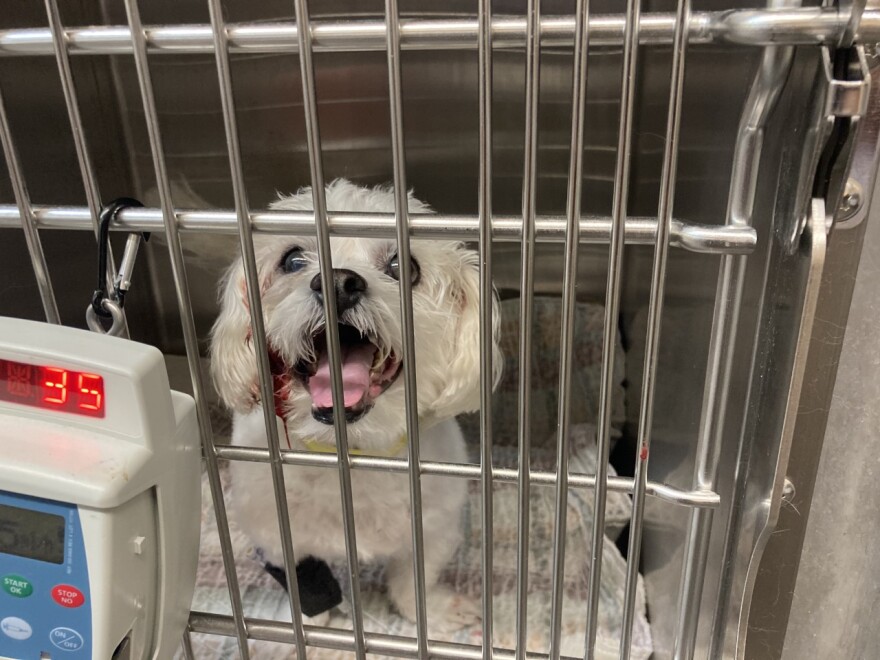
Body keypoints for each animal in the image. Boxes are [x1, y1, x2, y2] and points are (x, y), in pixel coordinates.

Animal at [210, 178, 502, 632]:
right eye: (292, 260)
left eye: (405, 266)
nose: (338, 281)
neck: (353, 453)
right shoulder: (276, 537)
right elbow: (310, 589)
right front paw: (318, 629)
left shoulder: (434, 523)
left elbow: (415, 578)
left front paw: (431, 611)